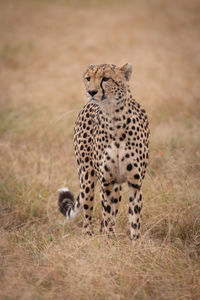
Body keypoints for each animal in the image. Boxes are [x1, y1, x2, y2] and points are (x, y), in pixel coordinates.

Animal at [57, 63, 148, 241]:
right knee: (88, 213)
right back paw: (88, 235)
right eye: (88, 78)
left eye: (106, 78)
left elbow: (134, 218)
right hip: (87, 177)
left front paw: (135, 243)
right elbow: (107, 215)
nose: (91, 92)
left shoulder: (135, 182)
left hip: (117, 186)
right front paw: (109, 240)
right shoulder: (106, 182)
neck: (115, 119)